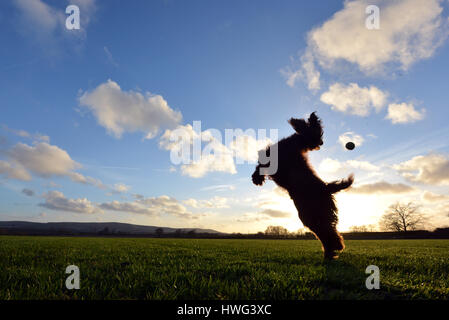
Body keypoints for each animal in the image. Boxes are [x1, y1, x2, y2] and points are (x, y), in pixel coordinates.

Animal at [250, 112, 352, 260]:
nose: (321, 143)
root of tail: (326, 187)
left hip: (313, 214)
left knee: (326, 232)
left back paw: (332, 250)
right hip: (315, 215)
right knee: (327, 232)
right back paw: (331, 251)